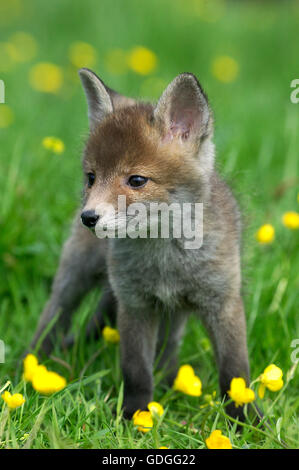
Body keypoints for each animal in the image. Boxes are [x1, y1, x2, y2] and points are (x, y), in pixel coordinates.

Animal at [29, 69, 251, 418]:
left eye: (136, 180)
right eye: (91, 177)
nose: (88, 217)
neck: (165, 259)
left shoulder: (222, 300)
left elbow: (235, 373)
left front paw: (246, 420)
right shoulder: (134, 304)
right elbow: (135, 371)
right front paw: (135, 416)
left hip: (173, 311)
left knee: (168, 348)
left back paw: (170, 382)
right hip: (78, 276)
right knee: (54, 317)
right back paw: (30, 369)